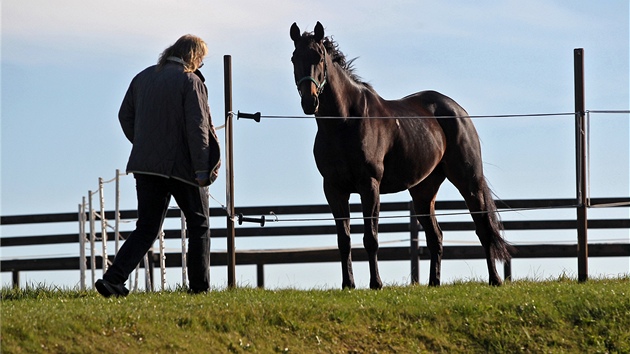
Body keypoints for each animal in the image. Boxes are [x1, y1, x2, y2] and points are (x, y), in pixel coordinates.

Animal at [292, 22, 512, 290]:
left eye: (319, 57)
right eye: (294, 58)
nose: (309, 101)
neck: (344, 123)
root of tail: (458, 111)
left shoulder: (369, 185)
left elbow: (371, 238)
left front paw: (376, 283)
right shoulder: (334, 189)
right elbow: (344, 240)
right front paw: (348, 285)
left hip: (469, 182)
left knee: (483, 228)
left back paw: (495, 279)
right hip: (423, 191)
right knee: (435, 236)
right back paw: (433, 282)